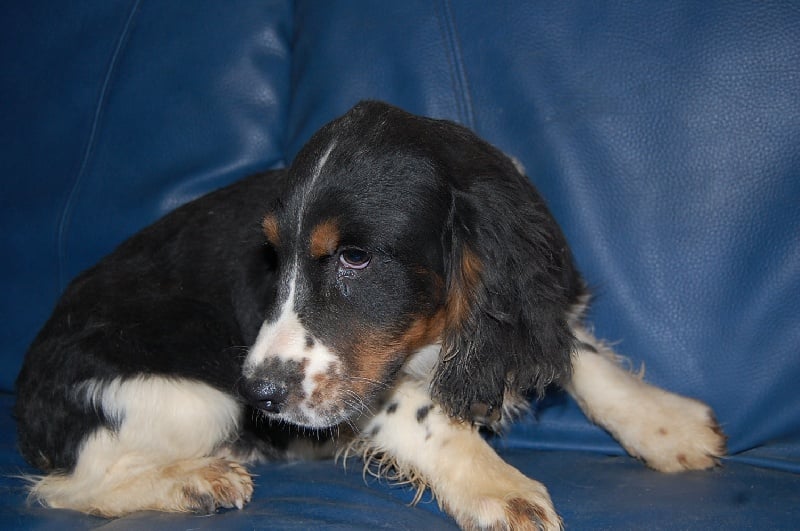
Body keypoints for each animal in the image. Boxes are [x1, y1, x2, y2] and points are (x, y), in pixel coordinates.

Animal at [15, 101, 726, 529]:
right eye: (273, 257)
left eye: (355, 258)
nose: (259, 396)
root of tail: (26, 400)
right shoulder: (359, 391)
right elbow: (426, 413)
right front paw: (498, 488)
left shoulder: (528, 297)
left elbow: (581, 356)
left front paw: (667, 424)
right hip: (195, 401)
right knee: (66, 484)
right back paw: (193, 481)